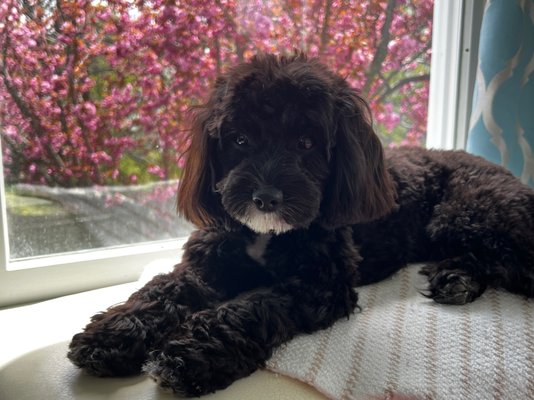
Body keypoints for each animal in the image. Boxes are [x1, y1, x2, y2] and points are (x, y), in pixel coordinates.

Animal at [67, 54, 534, 396]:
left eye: (307, 143)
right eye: (239, 139)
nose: (266, 197)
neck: (264, 235)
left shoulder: (319, 285)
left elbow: (251, 307)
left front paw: (191, 353)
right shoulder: (204, 266)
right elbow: (160, 290)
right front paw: (112, 333)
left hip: (467, 213)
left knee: (511, 260)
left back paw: (459, 278)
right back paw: (456, 278)